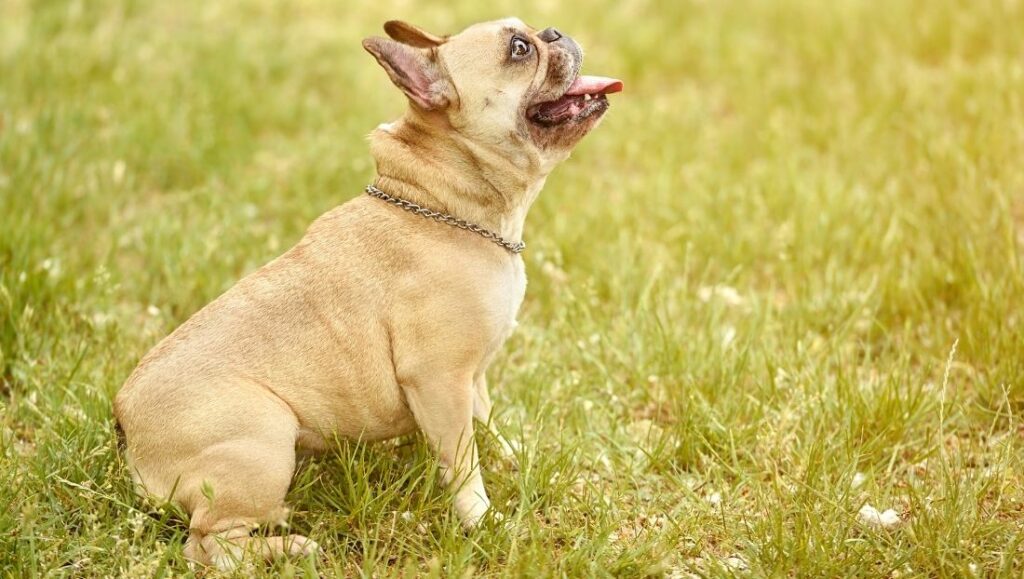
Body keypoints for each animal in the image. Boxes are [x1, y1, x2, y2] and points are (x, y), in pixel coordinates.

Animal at [113, 18, 622, 569]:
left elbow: (486, 424)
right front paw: (485, 521)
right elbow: (463, 463)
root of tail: (126, 424)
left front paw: (514, 456)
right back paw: (291, 547)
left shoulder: (473, 378)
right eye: (520, 49)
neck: (440, 202)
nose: (553, 31)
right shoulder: (439, 380)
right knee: (211, 546)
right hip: (265, 438)